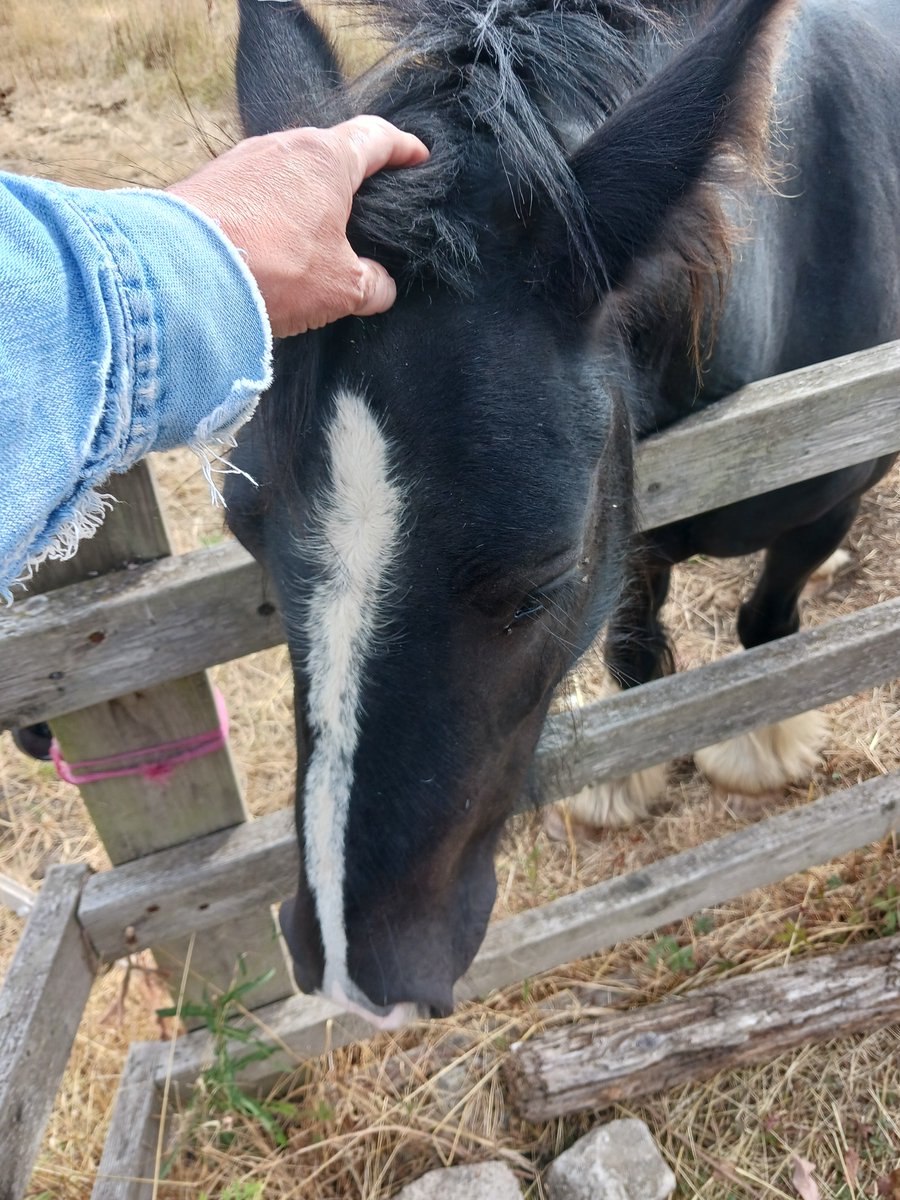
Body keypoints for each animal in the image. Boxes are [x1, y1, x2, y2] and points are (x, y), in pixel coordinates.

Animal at [227, 0, 900, 1025]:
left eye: (539, 580)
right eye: (240, 526)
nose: (353, 970)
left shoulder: (833, 485)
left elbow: (765, 626)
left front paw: (757, 745)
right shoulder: (633, 521)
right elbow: (633, 648)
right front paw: (628, 779)